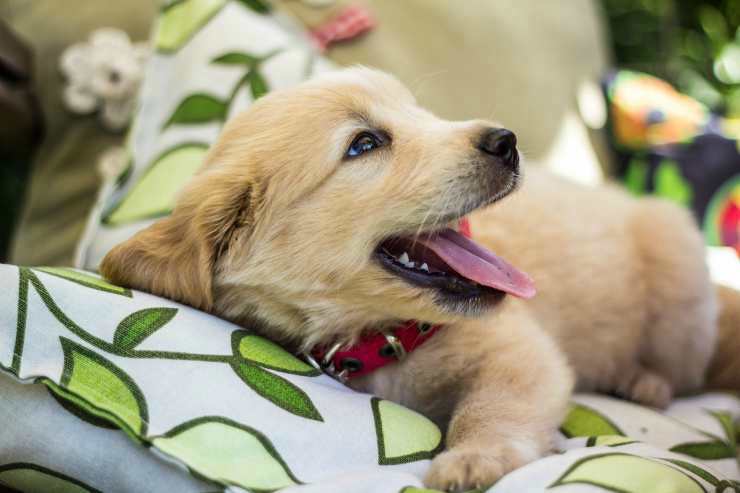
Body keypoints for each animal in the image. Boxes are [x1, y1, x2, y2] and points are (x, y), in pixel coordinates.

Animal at [101, 67, 736, 490]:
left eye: (421, 114)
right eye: (364, 144)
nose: (507, 141)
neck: (384, 337)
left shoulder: (521, 351)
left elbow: (491, 406)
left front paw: (475, 458)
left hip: (679, 281)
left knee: (686, 369)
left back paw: (643, 381)